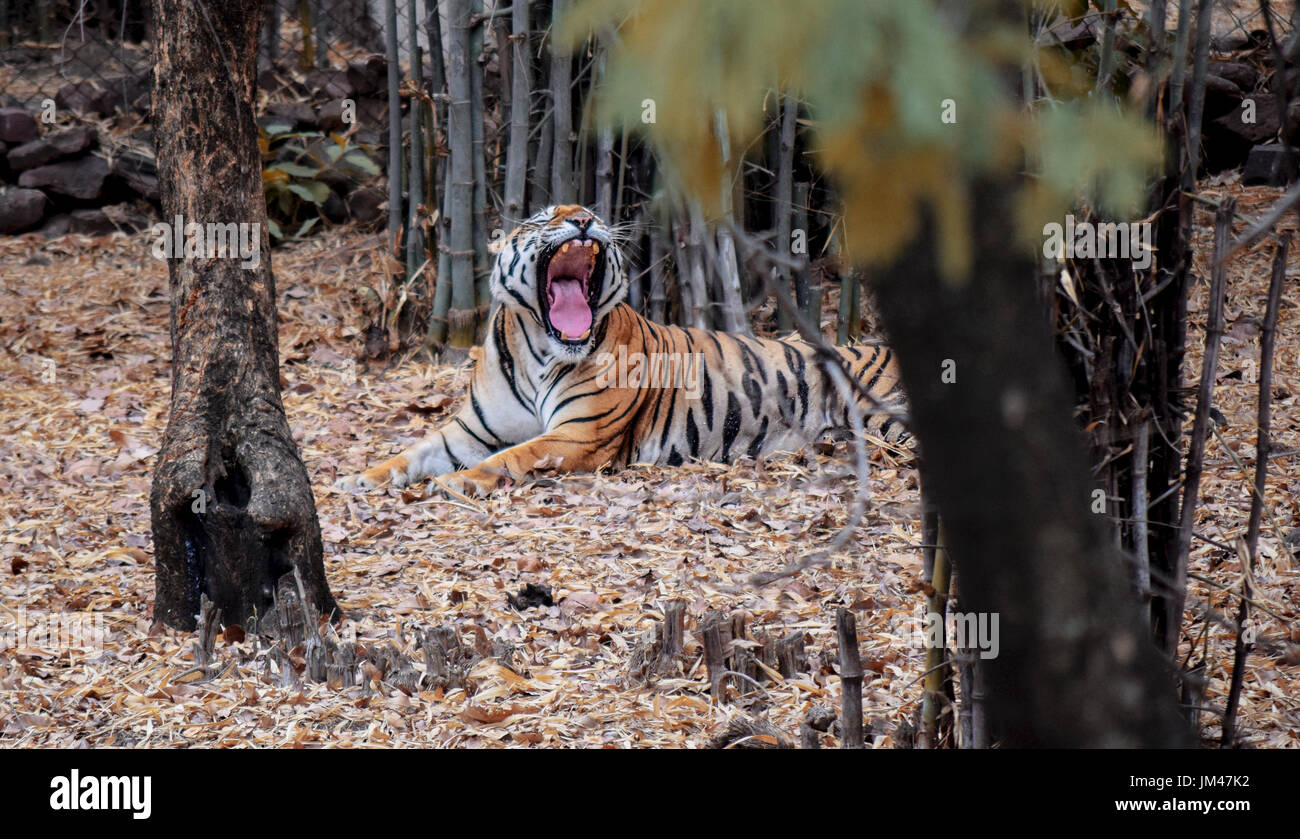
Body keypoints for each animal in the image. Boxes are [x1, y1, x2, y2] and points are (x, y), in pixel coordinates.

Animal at [340, 204, 909, 496]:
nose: (582, 219)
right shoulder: (468, 430)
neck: (536, 351)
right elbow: (411, 451)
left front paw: (457, 483)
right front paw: (357, 479)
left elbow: (514, 455)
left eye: (588, 210)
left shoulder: (577, 434)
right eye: (545, 215)